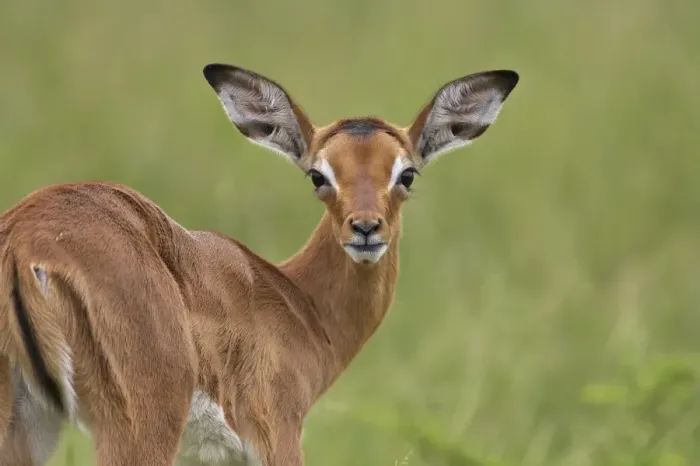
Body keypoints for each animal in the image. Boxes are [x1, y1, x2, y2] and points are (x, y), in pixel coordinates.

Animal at [0, 63, 519, 466]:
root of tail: (23, 238)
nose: (366, 229)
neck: (296, 301)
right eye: (318, 175)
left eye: (406, 173)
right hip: (140, 425)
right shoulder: (277, 434)